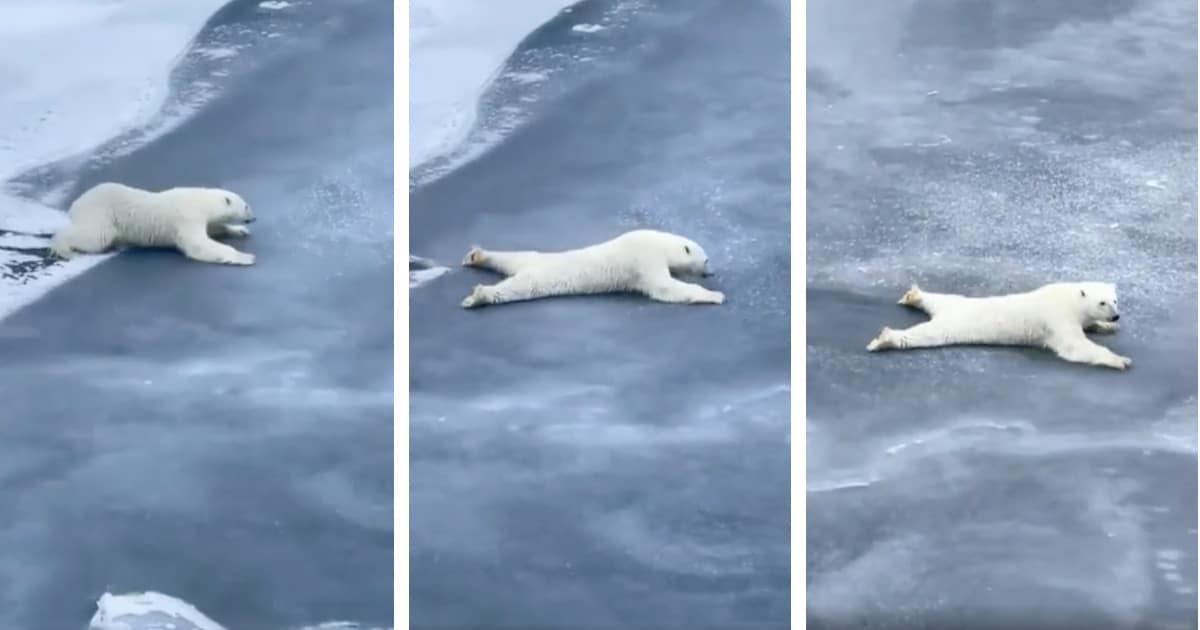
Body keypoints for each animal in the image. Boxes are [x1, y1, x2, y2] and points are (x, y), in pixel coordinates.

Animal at [456, 228, 720, 307]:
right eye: (707, 260)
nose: (711, 273)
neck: (658, 242)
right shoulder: (644, 259)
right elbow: (663, 287)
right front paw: (715, 295)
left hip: (530, 259)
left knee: (510, 258)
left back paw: (477, 256)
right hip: (540, 277)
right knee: (518, 288)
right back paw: (479, 296)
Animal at [864, 279, 1132, 369]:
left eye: (1115, 300)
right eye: (1102, 302)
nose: (1116, 316)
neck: (1068, 298)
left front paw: (1106, 327)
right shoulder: (1057, 318)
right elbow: (1074, 347)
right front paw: (1120, 360)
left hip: (954, 303)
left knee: (940, 298)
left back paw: (915, 296)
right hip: (953, 325)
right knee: (925, 335)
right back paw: (885, 339)